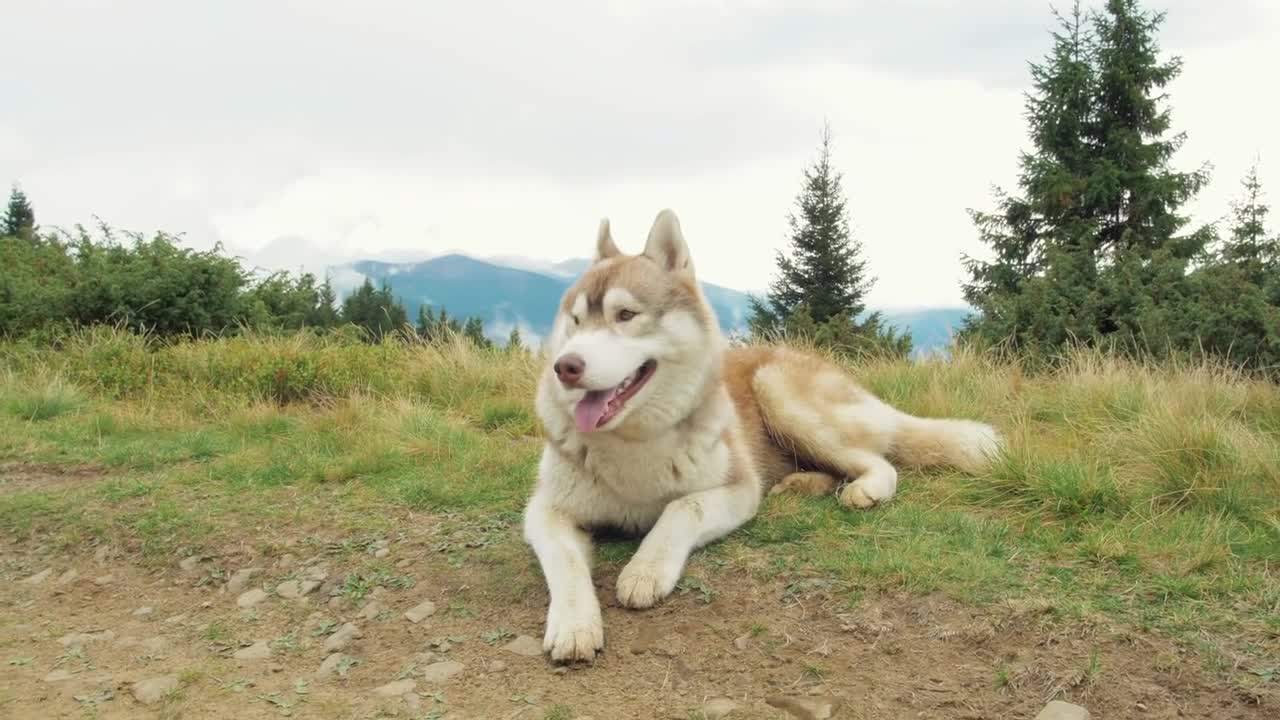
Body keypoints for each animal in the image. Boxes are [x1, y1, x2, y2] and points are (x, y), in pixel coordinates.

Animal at [519, 206, 998, 655]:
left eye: (625, 314)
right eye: (575, 321)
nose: (566, 366)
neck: (634, 442)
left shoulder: (738, 489)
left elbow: (682, 508)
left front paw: (645, 568)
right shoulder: (546, 510)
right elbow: (564, 562)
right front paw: (574, 624)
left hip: (779, 391)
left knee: (879, 460)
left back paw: (864, 489)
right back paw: (802, 484)